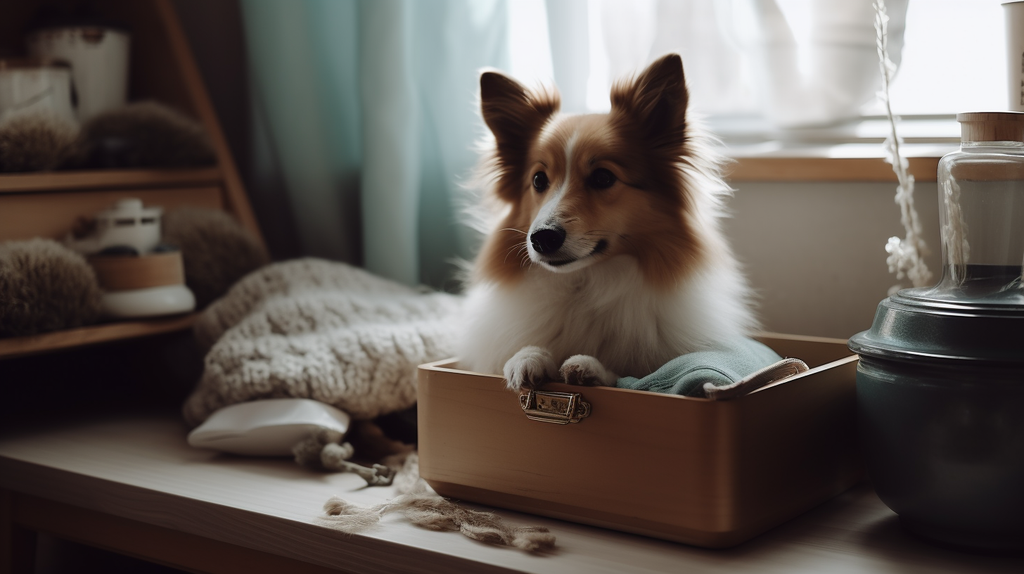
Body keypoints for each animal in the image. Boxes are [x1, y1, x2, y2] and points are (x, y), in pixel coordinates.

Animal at [456, 53, 753, 390]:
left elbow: (628, 376)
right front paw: (526, 359)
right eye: (538, 180)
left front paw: (589, 367)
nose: (541, 238)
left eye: (602, 177)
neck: (587, 283)